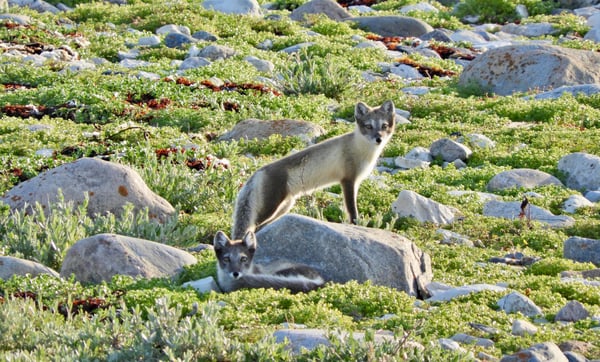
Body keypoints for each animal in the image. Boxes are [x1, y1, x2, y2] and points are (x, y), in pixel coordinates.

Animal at [232, 100, 396, 239]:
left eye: (384, 126)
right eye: (369, 126)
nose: (379, 139)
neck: (361, 149)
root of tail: (258, 172)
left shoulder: (354, 182)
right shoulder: (348, 180)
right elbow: (352, 211)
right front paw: (356, 225)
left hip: (285, 206)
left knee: (261, 227)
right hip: (271, 207)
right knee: (254, 227)